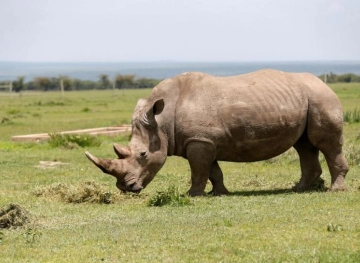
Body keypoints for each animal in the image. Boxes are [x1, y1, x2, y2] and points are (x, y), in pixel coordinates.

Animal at [85, 69, 348, 197]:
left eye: (142, 154)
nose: (124, 188)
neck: (161, 120)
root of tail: (323, 83)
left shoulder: (199, 141)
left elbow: (199, 171)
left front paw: (192, 195)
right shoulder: (204, 140)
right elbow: (213, 171)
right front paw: (219, 193)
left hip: (321, 98)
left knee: (326, 143)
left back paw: (335, 191)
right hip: (308, 99)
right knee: (304, 145)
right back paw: (299, 189)